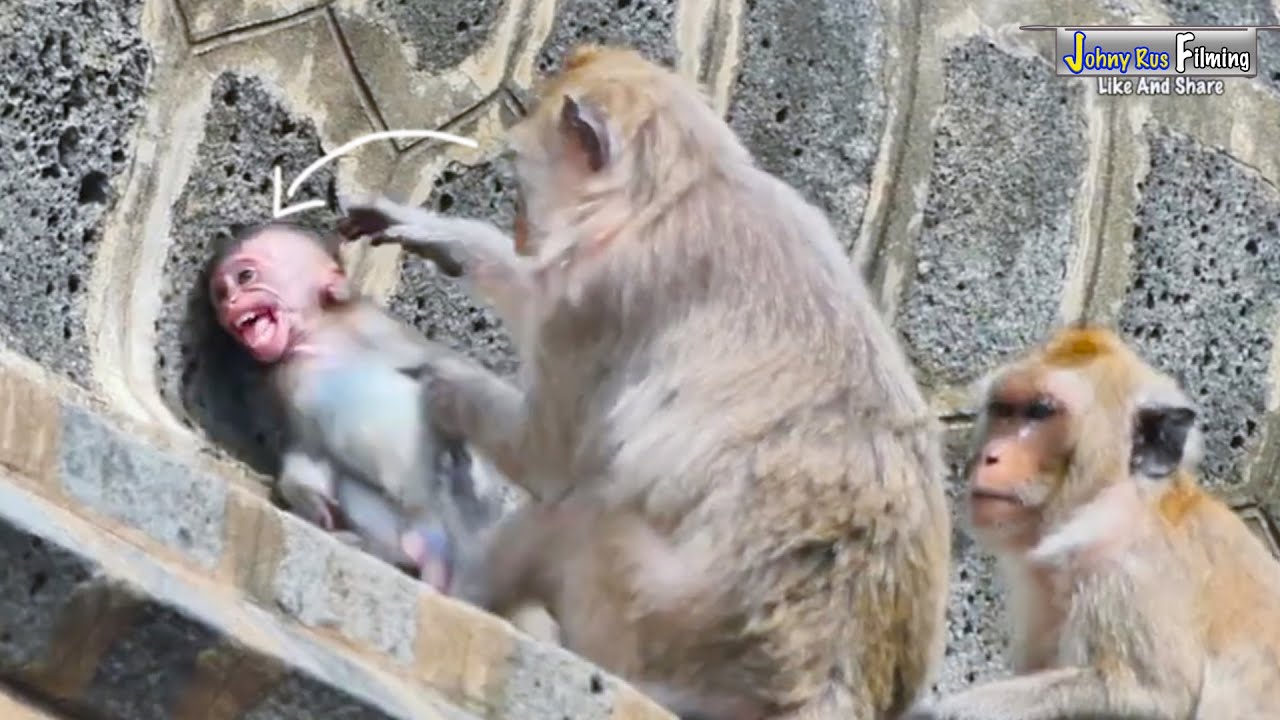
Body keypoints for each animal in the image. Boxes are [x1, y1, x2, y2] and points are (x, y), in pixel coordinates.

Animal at [207, 221, 499, 592]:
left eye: (245, 276)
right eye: (221, 292)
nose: (230, 302)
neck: (314, 337)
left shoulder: (375, 326)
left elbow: (443, 368)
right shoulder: (283, 381)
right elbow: (307, 446)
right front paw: (309, 501)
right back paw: (382, 551)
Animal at [335, 44, 953, 720]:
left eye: (521, 180)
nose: (522, 231)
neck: (676, 189)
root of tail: (826, 686)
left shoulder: (605, 295)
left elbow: (547, 456)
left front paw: (440, 385)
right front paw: (446, 238)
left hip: (644, 618)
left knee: (583, 512)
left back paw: (466, 587)